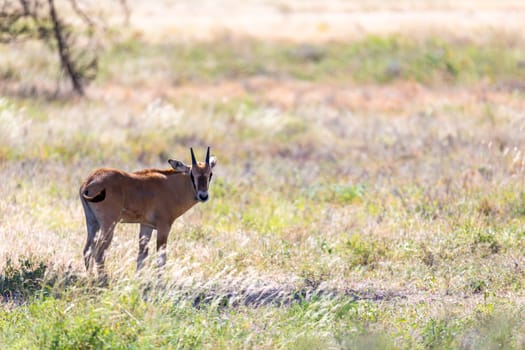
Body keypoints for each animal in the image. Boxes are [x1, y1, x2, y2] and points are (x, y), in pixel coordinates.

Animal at [80, 146, 215, 280]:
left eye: (210, 174)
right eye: (192, 174)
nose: (203, 196)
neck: (171, 185)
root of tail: (90, 180)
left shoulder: (146, 226)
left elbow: (142, 256)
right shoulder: (163, 227)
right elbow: (161, 258)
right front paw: (160, 282)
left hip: (92, 223)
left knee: (87, 250)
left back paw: (90, 278)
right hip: (109, 225)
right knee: (99, 252)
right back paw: (103, 280)